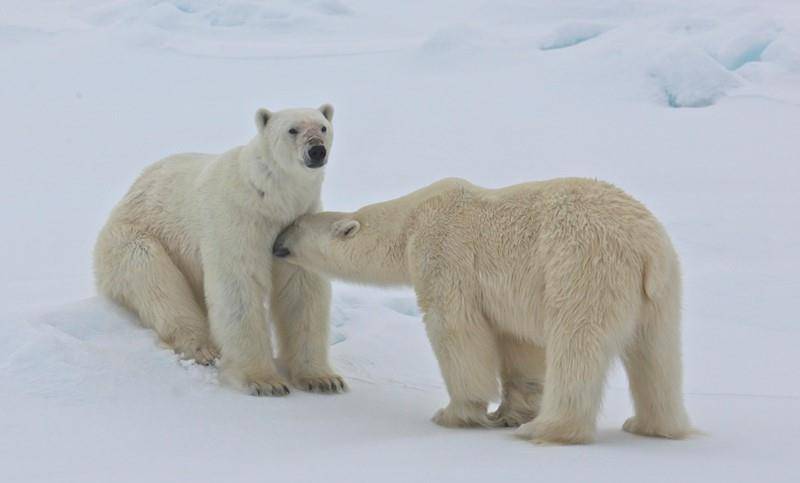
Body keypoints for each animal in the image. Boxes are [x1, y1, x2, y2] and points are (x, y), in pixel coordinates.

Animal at [94, 105, 344, 398]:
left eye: (323, 127)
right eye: (292, 129)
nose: (316, 150)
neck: (269, 198)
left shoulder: (296, 226)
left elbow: (302, 292)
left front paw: (323, 379)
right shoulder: (238, 221)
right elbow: (238, 288)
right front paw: (265, 382)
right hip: (133, 239)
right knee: (158, 283)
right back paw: (203, 349)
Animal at [272, 179, 692, 446]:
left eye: (295, 226)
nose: (275, 243)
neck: (411, 220)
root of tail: (645, 249)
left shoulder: (444, 254)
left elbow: (456, 330)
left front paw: (455, 414)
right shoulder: (508, 296)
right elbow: (517, 343)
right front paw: (509, 413)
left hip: (584, 267)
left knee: (578, 345)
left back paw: (546, 430)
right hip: (662, 290)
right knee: (657, 354)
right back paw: (652, 424)